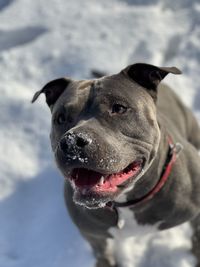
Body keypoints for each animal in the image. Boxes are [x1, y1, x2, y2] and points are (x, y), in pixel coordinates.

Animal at [32, 63, 200, 266]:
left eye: (119, 108)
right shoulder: (92, 234)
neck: (126, 203)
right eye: (60, 118)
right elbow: (102, 251)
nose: (71, 142)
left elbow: (197, 236)